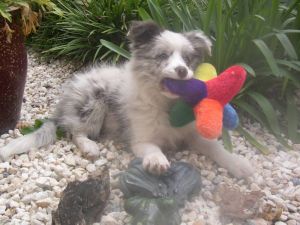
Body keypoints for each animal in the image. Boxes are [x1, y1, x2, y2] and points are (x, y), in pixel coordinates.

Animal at [0, 21, 253, 179]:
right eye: (162, 56)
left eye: (188, 59)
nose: (182, 71)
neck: (165, 104)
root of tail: (64, 102)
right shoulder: (141, 139)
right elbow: (151, 148)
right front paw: (156, 161)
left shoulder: (191, 133)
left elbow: (215, 147)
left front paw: (238, 164)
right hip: (94, 102)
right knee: (75, 132)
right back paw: (90, 146)